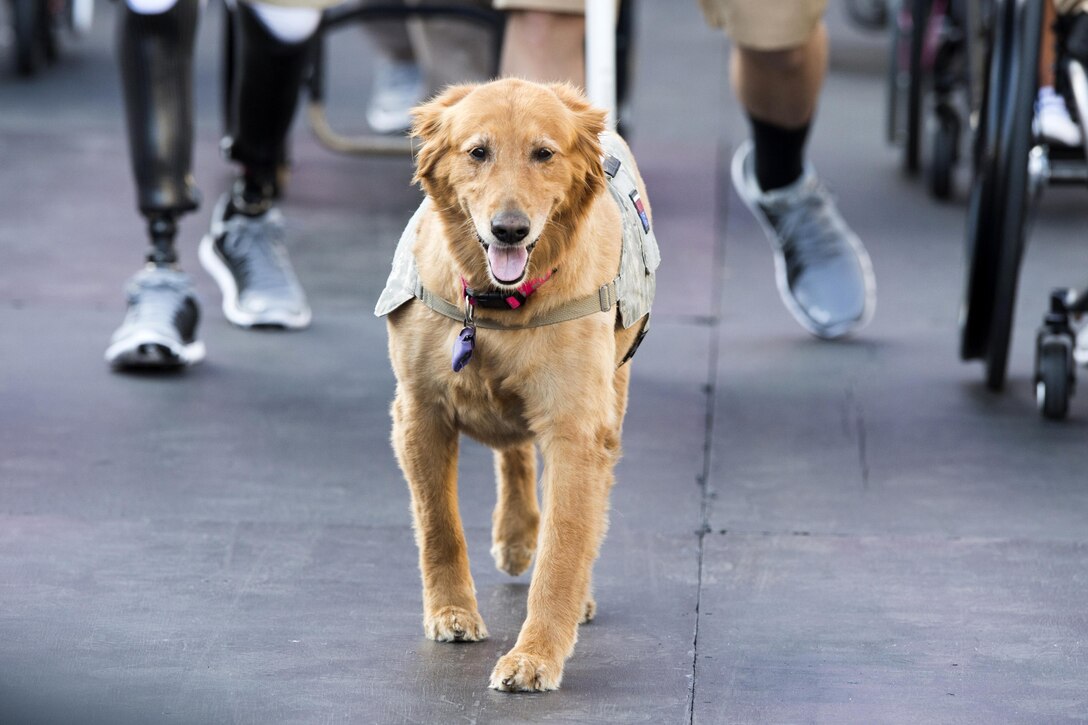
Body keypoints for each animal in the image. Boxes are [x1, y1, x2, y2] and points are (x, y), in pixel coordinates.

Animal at [378, 76, 657, 692]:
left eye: (543, 154)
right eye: (478, 152)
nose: (510, 229)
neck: (495, 304)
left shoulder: (578, 430)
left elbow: (563, 550)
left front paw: (536, 654)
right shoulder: (419, 413)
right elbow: (438, 523)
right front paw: (452, 612)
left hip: (613, 396)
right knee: (513, 452)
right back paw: (514, 535)